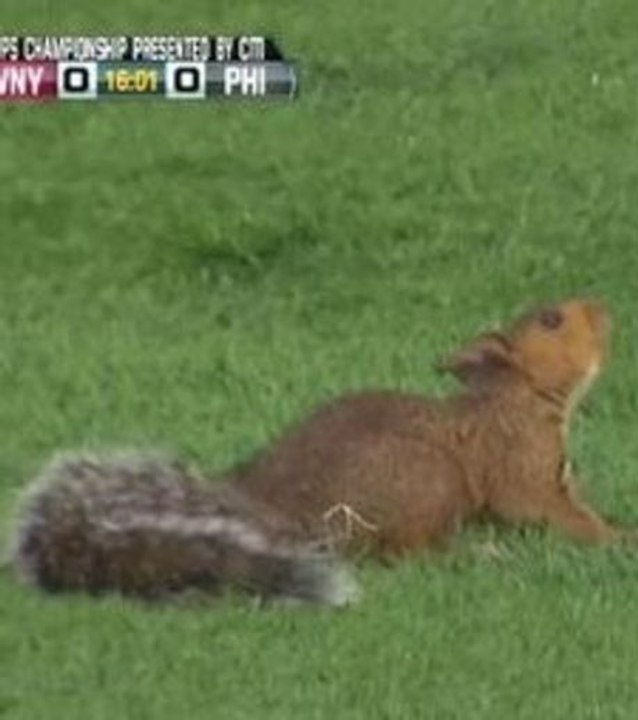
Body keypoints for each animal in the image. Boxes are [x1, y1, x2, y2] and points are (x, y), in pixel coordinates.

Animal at [7, 297, 628, 605]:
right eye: (551, 320)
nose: (602, 308)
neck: (517, 398)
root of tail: (266, 505)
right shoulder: (519, 466)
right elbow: (546, 512)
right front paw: (621, 541)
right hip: (422, 482)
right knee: (401, 552)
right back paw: (473, 554)